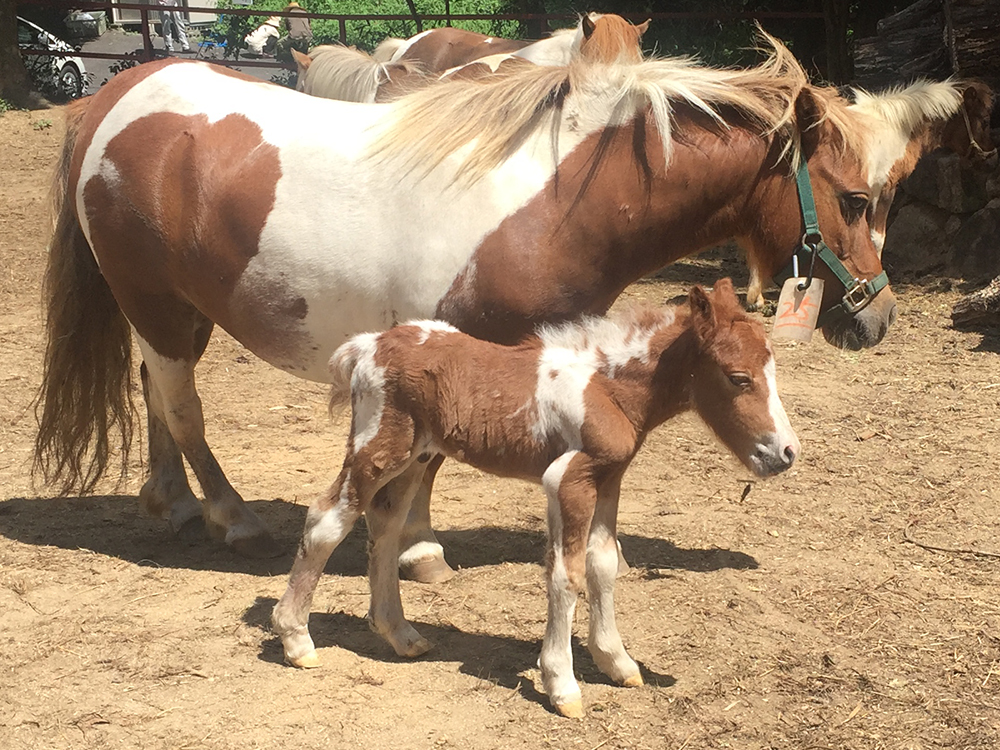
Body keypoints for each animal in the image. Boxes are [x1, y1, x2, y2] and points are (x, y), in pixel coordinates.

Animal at [35, 33, 896, 568]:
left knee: (154, 391)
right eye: (856, 200)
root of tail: (118, 95)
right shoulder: (453, 345)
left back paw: (172, 504)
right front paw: (418, 551)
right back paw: (230, 516)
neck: (559, 197)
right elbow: (430, 458)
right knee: (182, 405)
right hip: (153, 303)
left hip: (179, 313)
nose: (878, 316)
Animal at [270, 280, 800, 720]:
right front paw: (562, 685)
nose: (785, 453)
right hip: (378, 448)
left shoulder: (609, 478)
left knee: (384, 526)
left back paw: (401, 635)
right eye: (738, 377)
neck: (608, 387)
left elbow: (603, 563)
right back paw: (296, 640)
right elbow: (566, 574)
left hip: (415, 457)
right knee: (326, 520)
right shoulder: (567, 480)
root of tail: (368, 346)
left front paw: (617, 662)